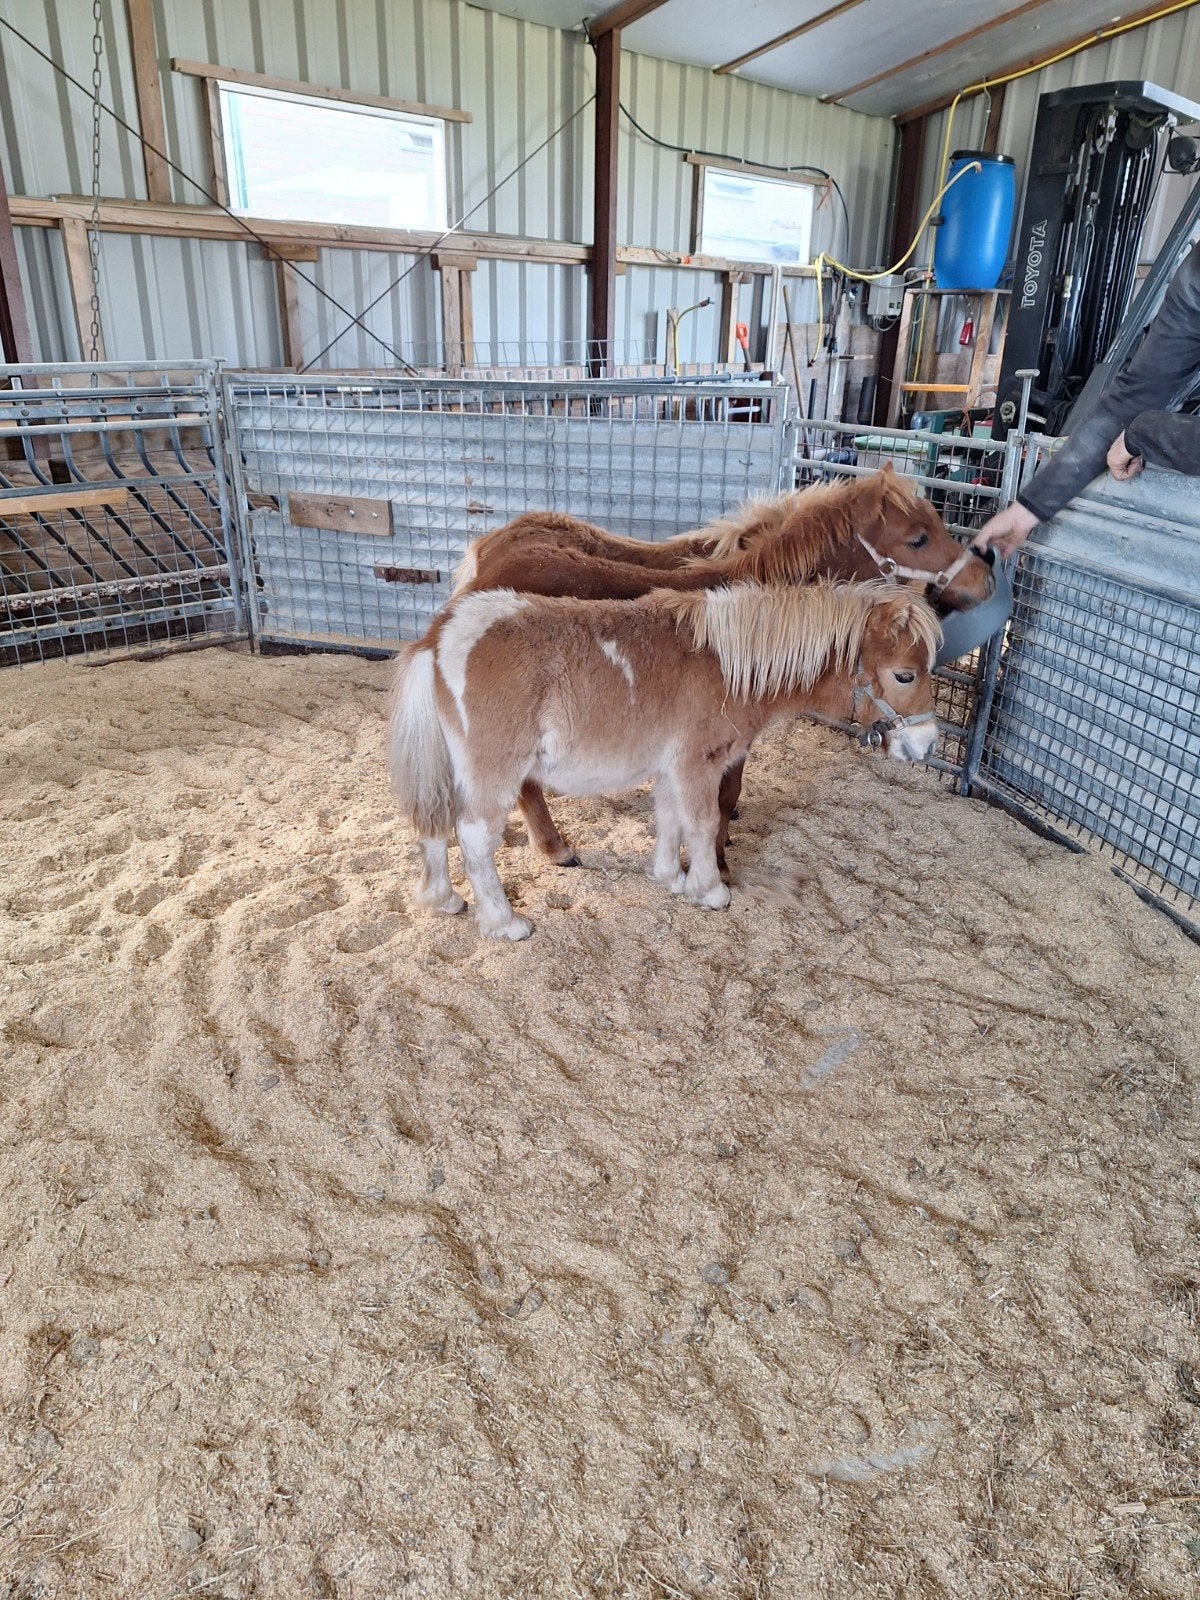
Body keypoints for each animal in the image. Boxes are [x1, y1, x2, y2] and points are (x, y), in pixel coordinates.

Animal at [387, 579, 941, 940]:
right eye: (905, 675)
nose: (927, 744)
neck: (725, 665)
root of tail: (438, 637)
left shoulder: (674, 766)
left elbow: (671, 817)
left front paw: (670, 878)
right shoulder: (700, 762)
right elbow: (703, 822)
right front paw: (710, 890)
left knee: (434, 825)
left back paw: (444, 901)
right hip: (493, 773)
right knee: (475, 839)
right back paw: (505, 924)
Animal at [452, 466, 988, 875]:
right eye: (918, 538)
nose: (985, 580)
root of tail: (483, 561)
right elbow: (725, 795)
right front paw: (719, 862)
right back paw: (555, 848)